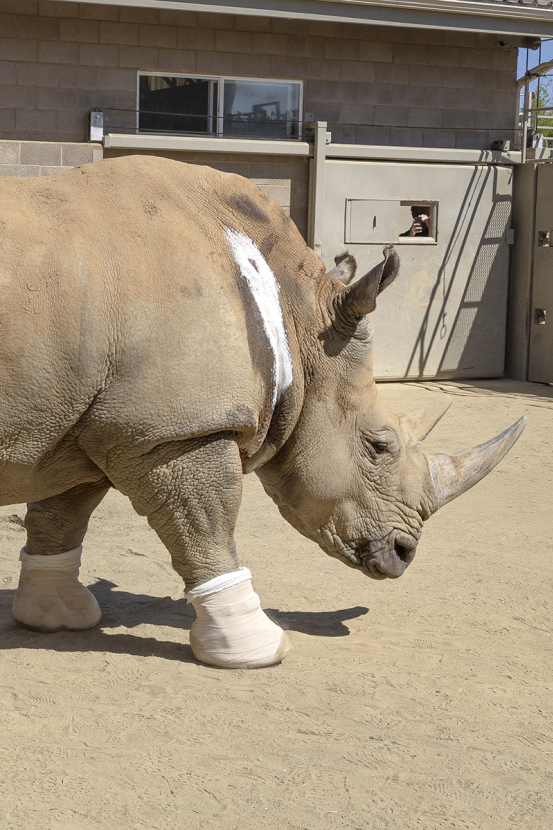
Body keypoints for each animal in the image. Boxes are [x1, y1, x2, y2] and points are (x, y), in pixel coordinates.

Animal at [0, 156, 524, 668]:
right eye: (379, 447)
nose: (404, 554)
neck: (296, 318)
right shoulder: (174, 429)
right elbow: (205, 524)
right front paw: (255, 648)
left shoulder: (89, 421)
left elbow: (62, 511)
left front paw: (57, 615)